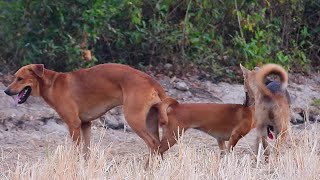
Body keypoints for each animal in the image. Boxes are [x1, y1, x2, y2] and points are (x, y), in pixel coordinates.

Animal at [4, 64, 168, 157]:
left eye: (20, 79)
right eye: (14, 77)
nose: (6, 91)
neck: (52, 84)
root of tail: (151, 80)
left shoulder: (74, 125)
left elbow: (77, 152)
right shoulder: (85, 124)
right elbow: (86, 152)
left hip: (134, 119)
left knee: (154, 145)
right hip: (150, 122)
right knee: (158, 146)